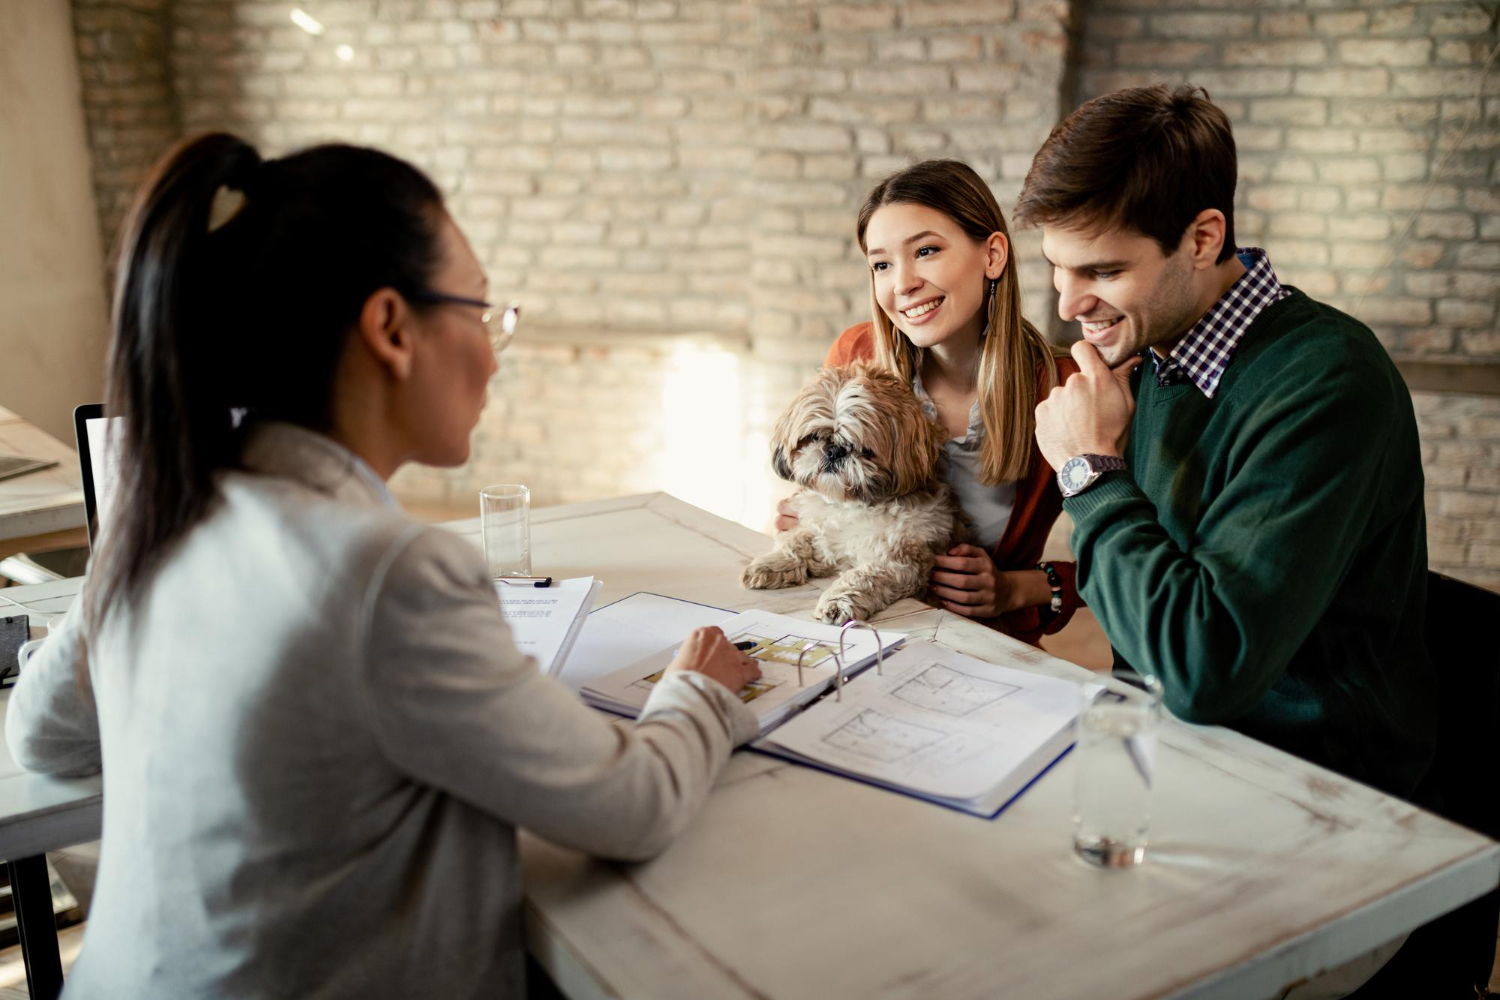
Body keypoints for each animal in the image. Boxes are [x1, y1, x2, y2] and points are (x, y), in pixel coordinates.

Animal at [741, 359, 972, 626]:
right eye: (814, 437)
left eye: (865, 449)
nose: (834, 451)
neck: (851, 505)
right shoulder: (823, 532)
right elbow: (799, 540)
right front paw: (773, 563)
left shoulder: (898, 560)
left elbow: (864, 576)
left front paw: (837, 602)